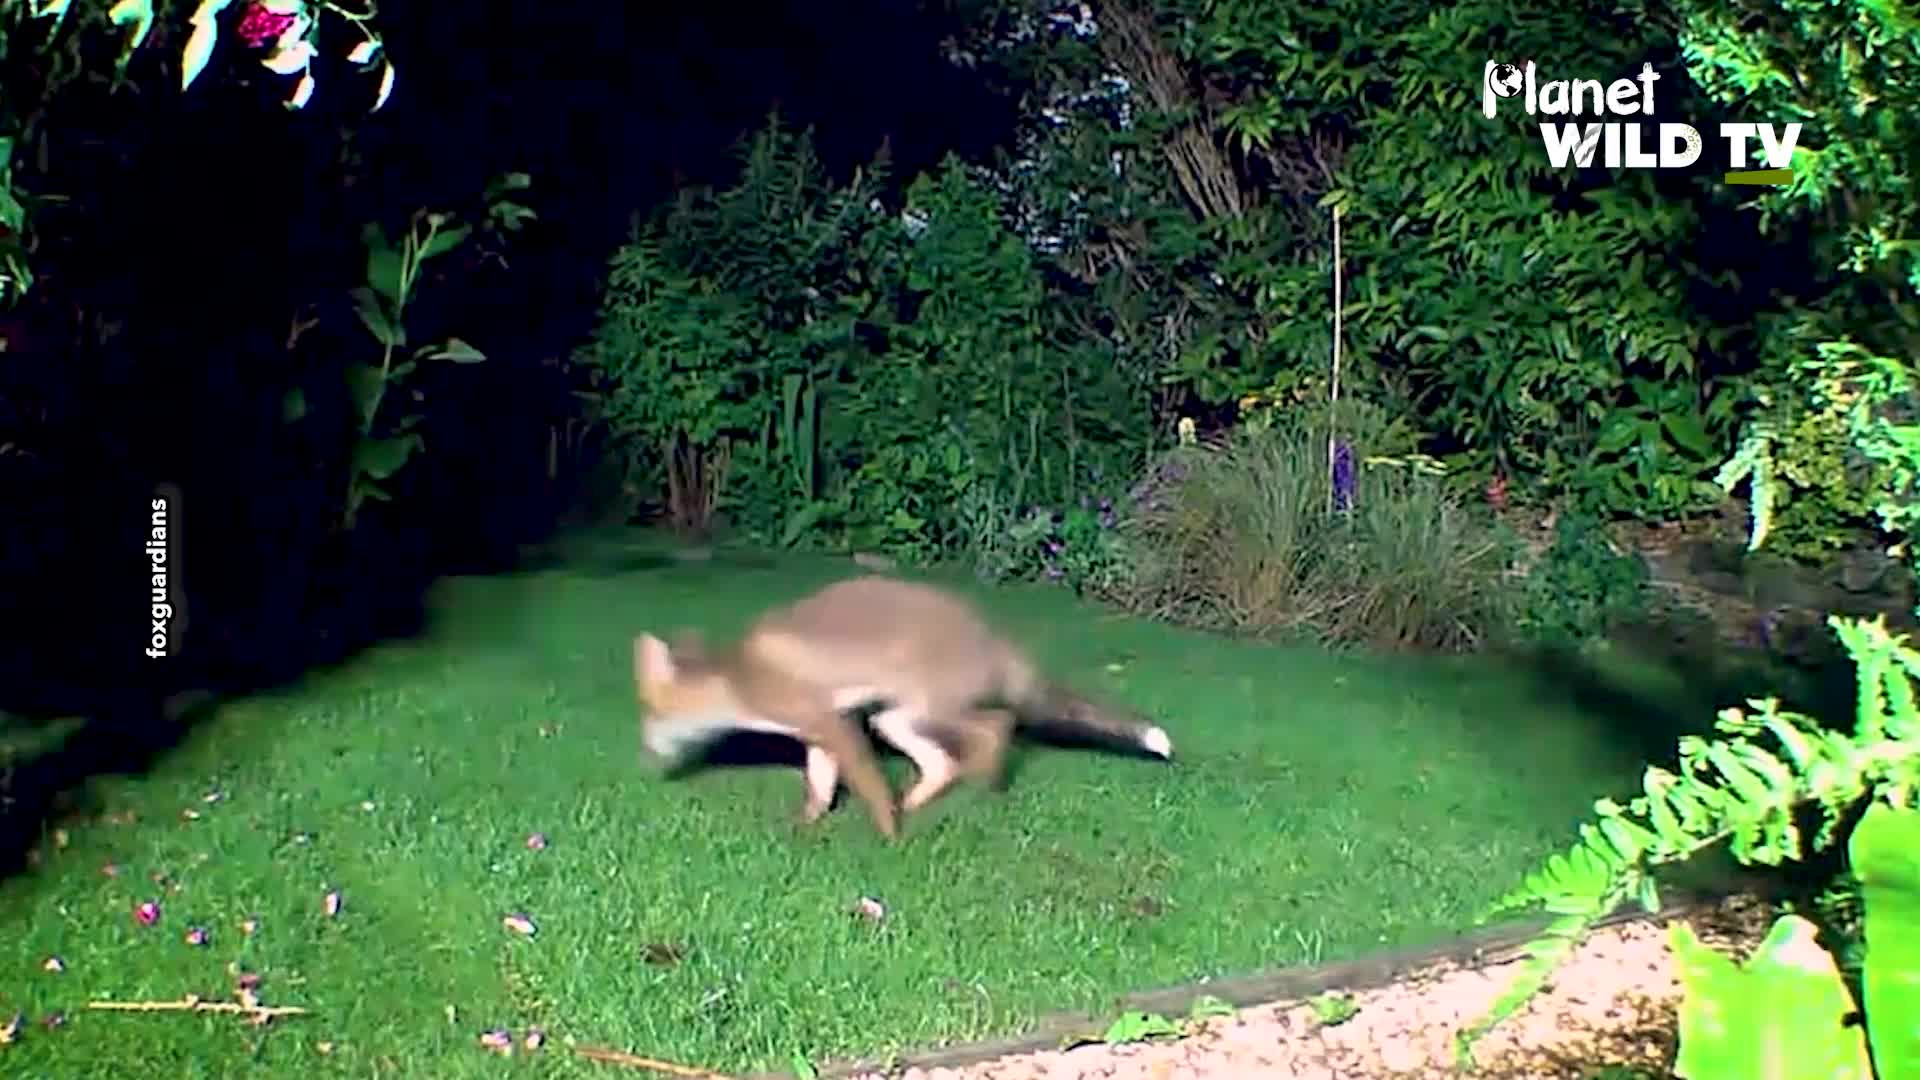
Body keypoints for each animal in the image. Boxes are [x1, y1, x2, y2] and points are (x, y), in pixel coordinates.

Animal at [632, 575, 1174, 840]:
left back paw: (989, 789)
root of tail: (990, 637)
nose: (648, 760)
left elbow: (868, 789)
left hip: (931, 712)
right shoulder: (824, 733)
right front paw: (805, 828)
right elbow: (820, 790)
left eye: (649, 721)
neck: (740, 678)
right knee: (943, 763)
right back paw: (918, 802)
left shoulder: (833, 724)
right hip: (893, 719)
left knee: (998, 726)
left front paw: (889, 837)